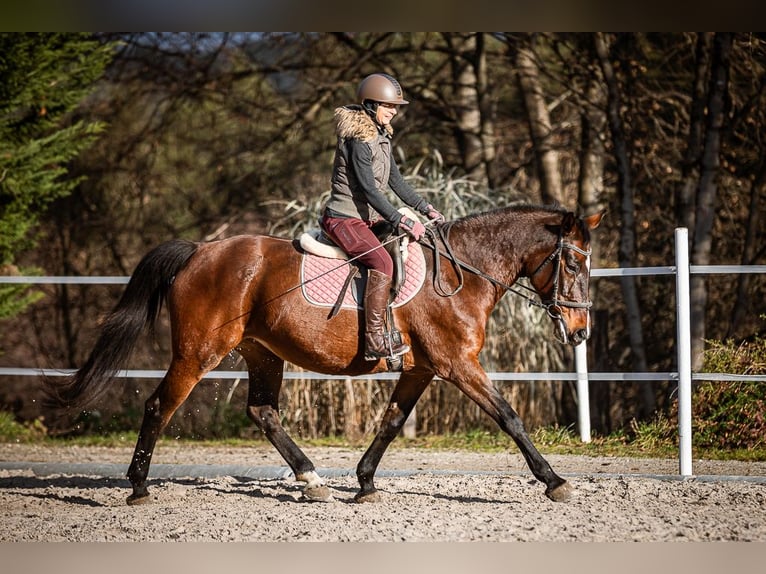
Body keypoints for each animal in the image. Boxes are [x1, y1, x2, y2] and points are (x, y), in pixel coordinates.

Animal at [43, 207, 608, 508]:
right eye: (573, 262)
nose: (580, 331)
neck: (461, 272)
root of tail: (201, 251)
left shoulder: (422, 369)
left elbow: (391, 422)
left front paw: (364, 483)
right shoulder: (457, 365)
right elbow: (510, 417)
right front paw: (555, 481)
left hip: (263, 353)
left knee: (262, 412)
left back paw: (311, 479)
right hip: (198, 352)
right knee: (160, 406)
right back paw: (138, 487)